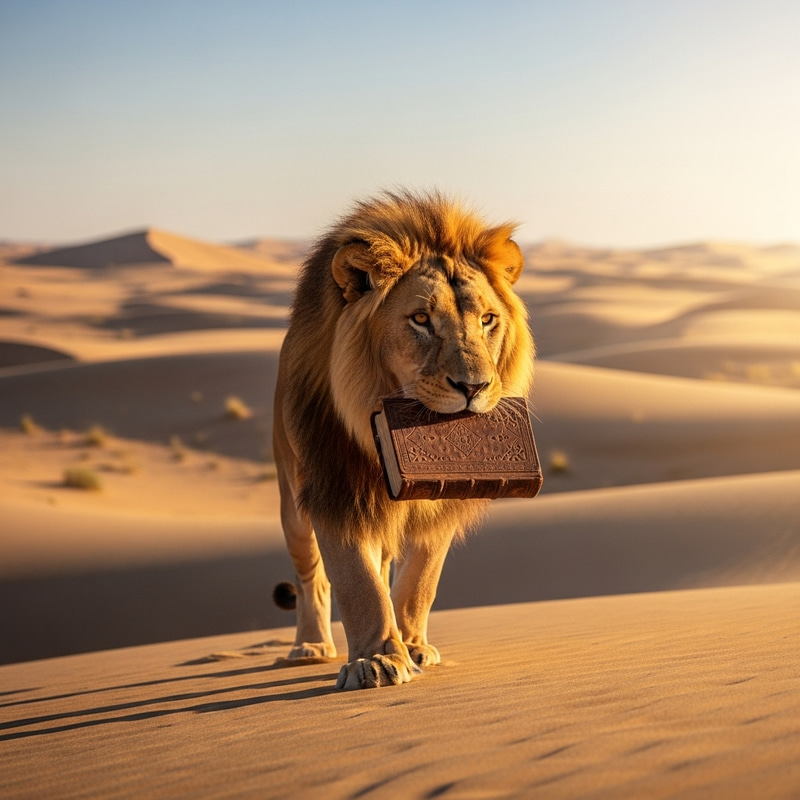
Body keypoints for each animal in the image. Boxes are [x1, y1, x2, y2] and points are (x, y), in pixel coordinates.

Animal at [273, 190, 534, 689]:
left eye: (488, 319)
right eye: (420, 319)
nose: (473, 387)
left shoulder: (439, 504)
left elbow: (419, 582)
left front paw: (410, 645)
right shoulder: (335, 487)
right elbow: (355, 581)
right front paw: (375, 660)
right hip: (291, 498)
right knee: (310, 576)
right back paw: (309, 647)